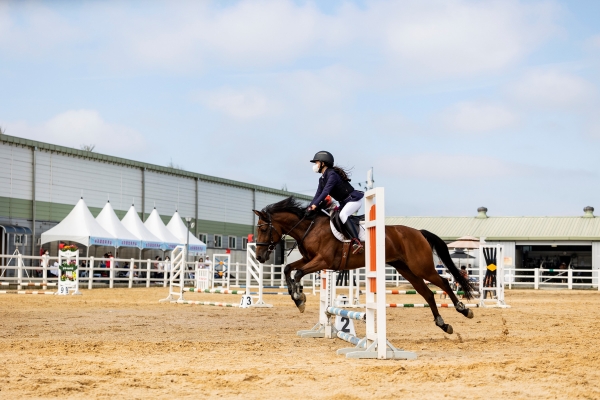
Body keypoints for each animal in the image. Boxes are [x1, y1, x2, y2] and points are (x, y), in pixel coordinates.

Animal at [251, 197, 476, 334]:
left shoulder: (322, 261)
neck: (309, 228)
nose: (260, 256)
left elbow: (297, 273)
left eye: (263, 228)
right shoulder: (309, 260)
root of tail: (418, 232)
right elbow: (289, 269)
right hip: (405, 269)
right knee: (427, 293)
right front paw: (297, 298)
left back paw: (463, 309)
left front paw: (299, 297)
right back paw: (443, 324)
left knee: (444, 282)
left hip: (421, 267)